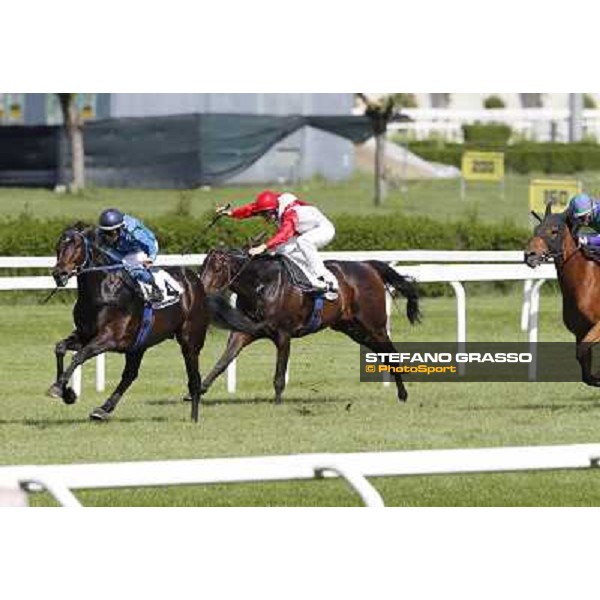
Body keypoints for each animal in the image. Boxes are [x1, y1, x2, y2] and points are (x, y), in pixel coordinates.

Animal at [48, 224, 258, 422]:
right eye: (58, 246)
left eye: (76, 246)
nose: (59, 273)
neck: (103, 292)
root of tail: (198, 284)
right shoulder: (85, 335)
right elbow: (60, 348)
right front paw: (67, 393)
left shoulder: (110, 338)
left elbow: (79, 356)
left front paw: (58, 389)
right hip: (139, 345)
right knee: (130, 375)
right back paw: (103, 409)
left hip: (190, 341)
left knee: (194, 379)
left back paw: (194, 417)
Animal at [199, 248, 420, 404]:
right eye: (202, 268)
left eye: (217, 268)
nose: (201, 292)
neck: (262, 285)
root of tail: (368, 265)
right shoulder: (244, 332)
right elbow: (224, 361)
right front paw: (199, 389)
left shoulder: (283, 334)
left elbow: (280, 374)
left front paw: (277, 403)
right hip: (353, 329)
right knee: (383, 354)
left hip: (374, 325)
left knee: (391, 354)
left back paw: (403, 394)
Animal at [524, 202, 600, 384]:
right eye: (536, 229)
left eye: (554, 231)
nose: (529, 255)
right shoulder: (580, 331)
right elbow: (584, 365)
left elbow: (582, 352)